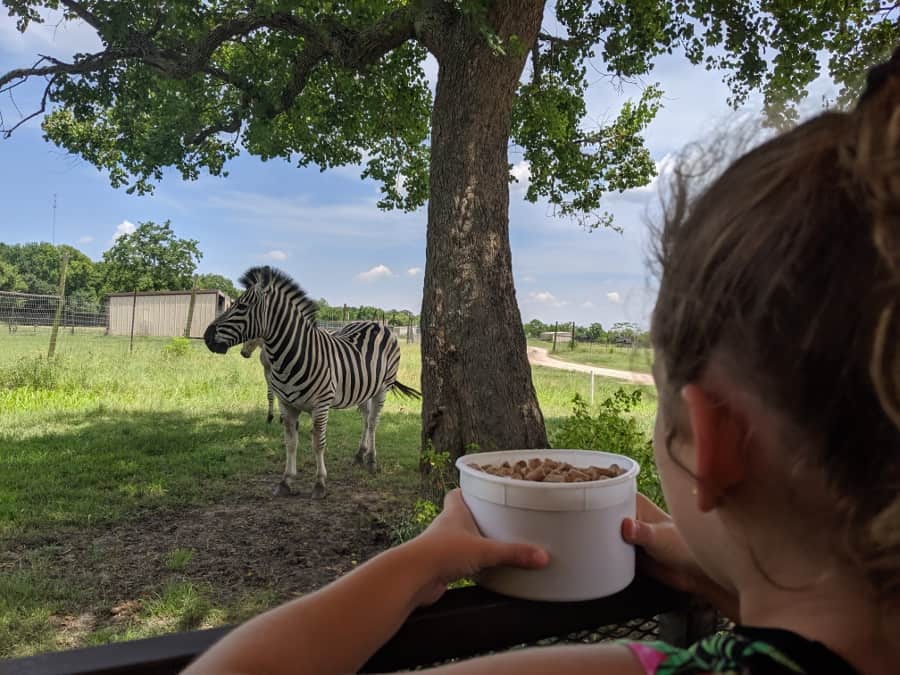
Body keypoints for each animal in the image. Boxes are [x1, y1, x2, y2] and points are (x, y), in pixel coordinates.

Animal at [202, 266, 420, 500]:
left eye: (241, 306)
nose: (206, 337)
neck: (291, 356)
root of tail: (376, 323)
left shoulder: (321, 405)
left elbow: (318, 443)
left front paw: (320, 483)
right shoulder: (286, 404)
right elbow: (290, 442)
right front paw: (286, 481)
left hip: (382, 387)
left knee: (372, 422)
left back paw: (371, 461)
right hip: (362, 388)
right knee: (365, 419)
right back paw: (359, 454)